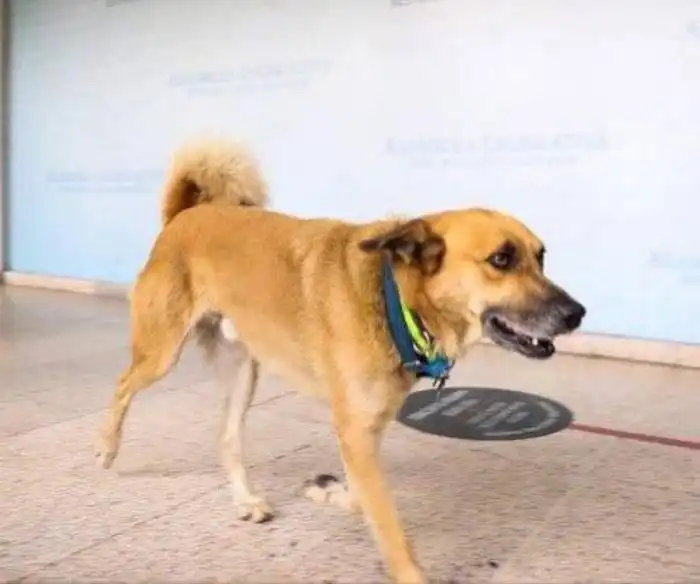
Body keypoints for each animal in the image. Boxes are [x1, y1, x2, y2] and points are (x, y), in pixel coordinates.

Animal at [94, 138, 584, 584]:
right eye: (501, 259)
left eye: (541, 257)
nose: (577, 314)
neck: (395, 297)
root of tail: (183, 215)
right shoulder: (356, 433)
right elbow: (385, 520)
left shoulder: (363, 433)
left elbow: (364, 498)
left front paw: (326, 490)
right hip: (161, 353)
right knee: (121, 384)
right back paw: (107, 447)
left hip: (242, 372)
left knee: (227, 440)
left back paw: (246, 501)